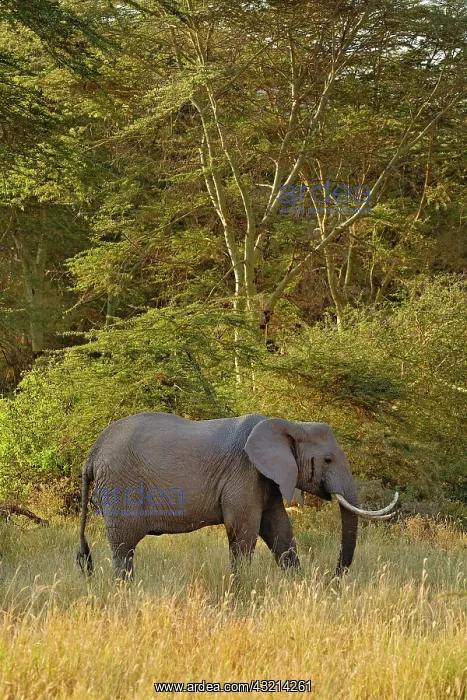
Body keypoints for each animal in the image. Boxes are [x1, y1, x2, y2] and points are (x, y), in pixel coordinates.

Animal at [77, 412, 398, 579]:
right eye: (328, 460)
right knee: (124, 547)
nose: (334, 576)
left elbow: (280, 531)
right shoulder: (244, 472)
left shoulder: (266, 479)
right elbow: (244, 530)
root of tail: (92, 453)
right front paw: (241, 590)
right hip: (121, 487)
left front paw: (298, 587)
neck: (289, 425)